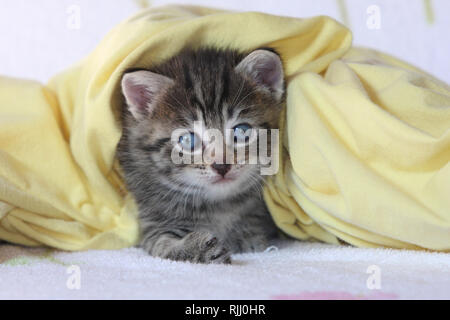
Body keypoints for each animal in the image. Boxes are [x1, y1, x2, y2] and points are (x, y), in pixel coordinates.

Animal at [116, 47, 284, 262]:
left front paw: (248, 236)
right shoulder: (154, 218)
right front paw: (197, 249)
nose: (221, 166)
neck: (219, 205)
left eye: (242, 131)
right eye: (188, 140)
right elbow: (160, 244)